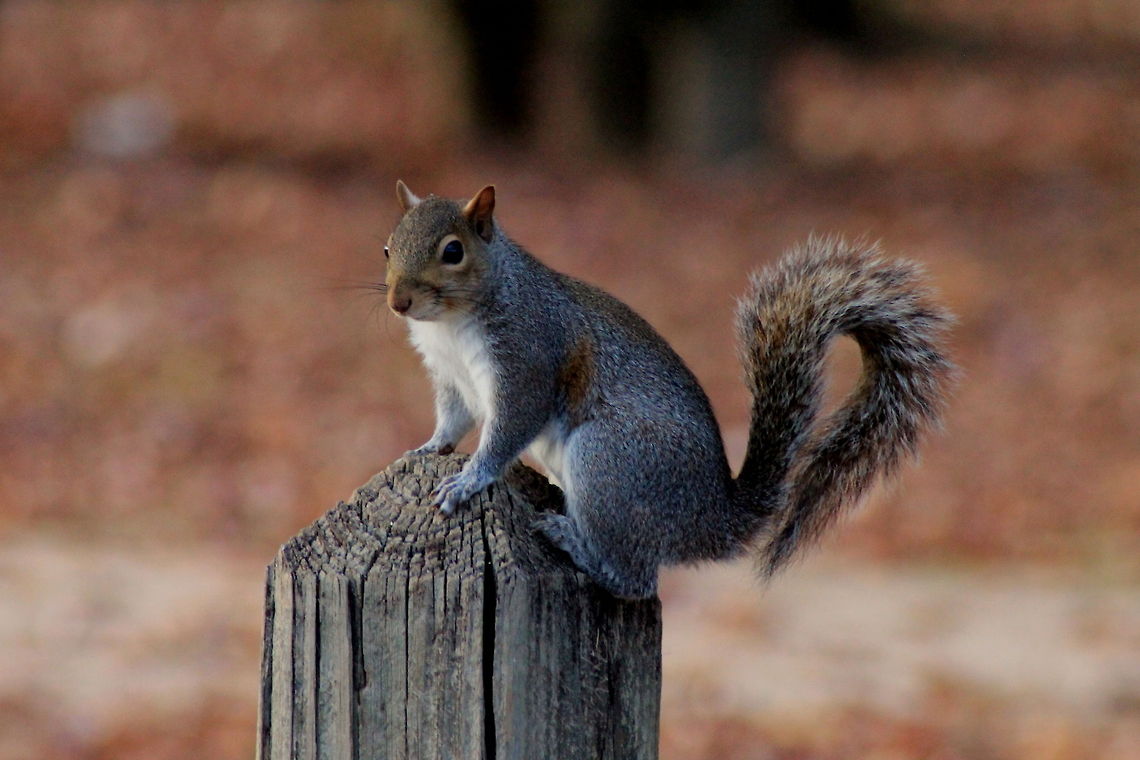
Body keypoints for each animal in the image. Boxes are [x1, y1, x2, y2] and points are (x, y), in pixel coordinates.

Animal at [383, 181, 955, 599]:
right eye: (387, 246)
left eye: (452, 251)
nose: (397, 303)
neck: (452, 323)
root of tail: (709, 520)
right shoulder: (451, 377)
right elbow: (453, 419)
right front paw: (427, 449)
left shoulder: (528, 359)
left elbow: (508, 429)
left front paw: (468, 480)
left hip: (610, 463)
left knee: (634, 580)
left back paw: (573, 542)